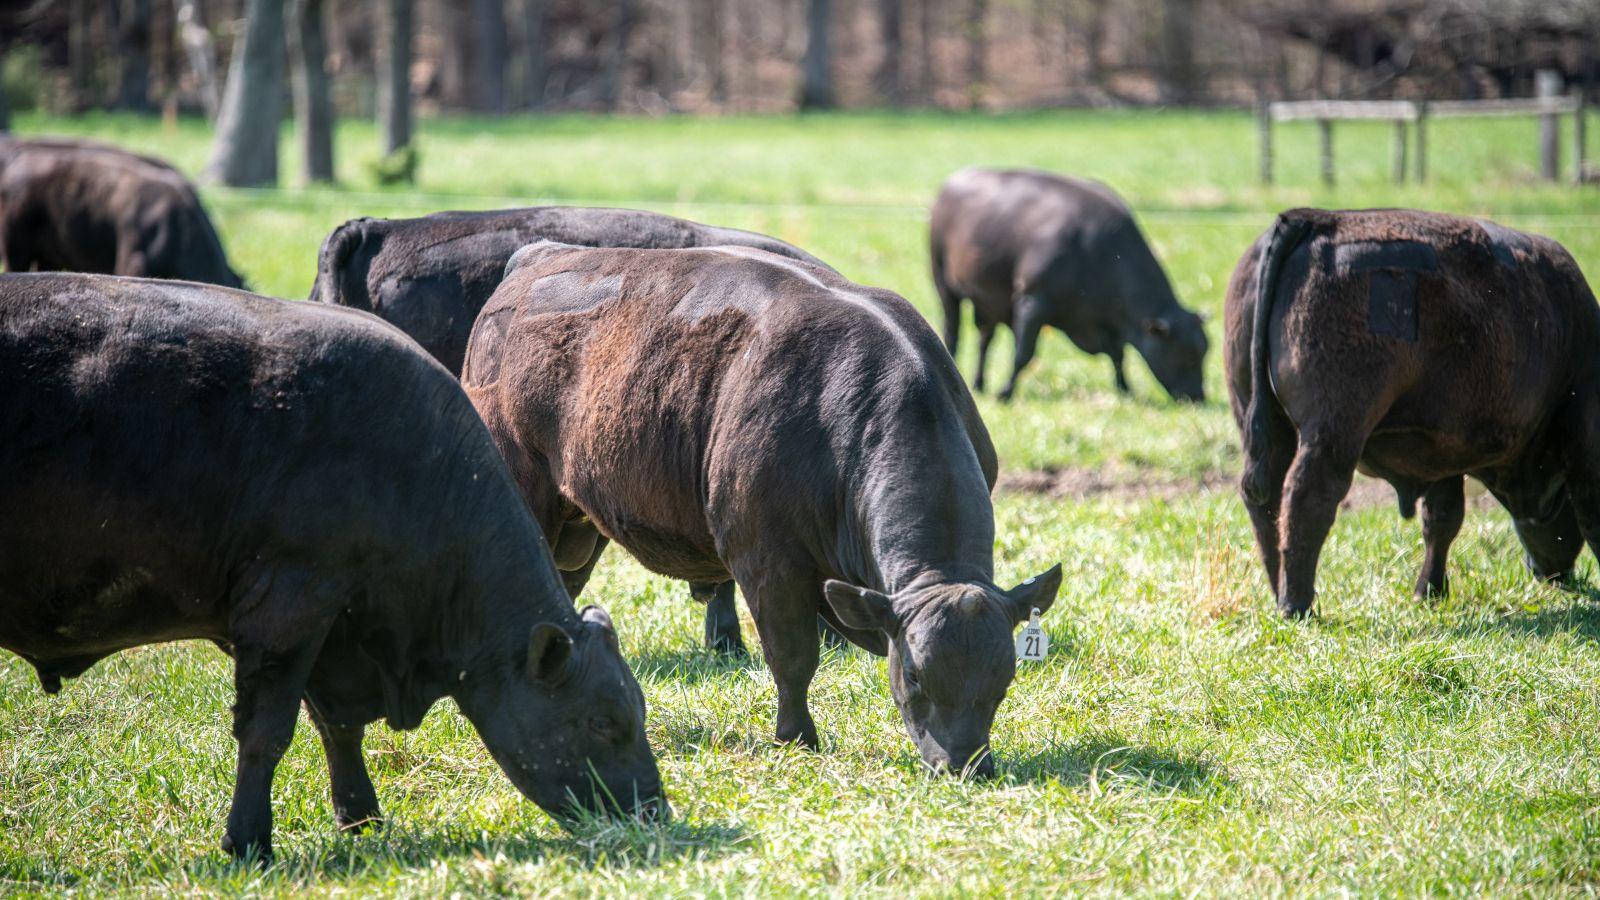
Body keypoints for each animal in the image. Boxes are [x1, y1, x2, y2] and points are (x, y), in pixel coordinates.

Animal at [0, 273, 664, 860]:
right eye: (604, 723)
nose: (654, 813)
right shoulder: (290, 603)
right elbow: (268, 732)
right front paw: (249, 842)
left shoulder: (330, 624)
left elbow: (335, 727)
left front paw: (360, 816)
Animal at [461, 241, 1062, 777]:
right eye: (914, 675)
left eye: (1004, 675)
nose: (965, 765)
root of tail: (540, 253)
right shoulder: (766, 558)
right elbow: (793, 658)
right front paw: (796, 738)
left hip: (578, 523)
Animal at [929, 167, 1208, 402]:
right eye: (1187, 356)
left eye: (1204, 352)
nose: (1198, 397)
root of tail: (956, 179)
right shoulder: (1033, 302)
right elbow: (1023, 354)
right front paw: (1006, 393)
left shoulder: (1109, 323)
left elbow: (1118, 355)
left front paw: (1125, 390)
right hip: (943, 281)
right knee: (952, 332)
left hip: (987, 300)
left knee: (985, 338)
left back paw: (978, 383)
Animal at [1225, 208, 1600, 618]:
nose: (1551, 573)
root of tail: (1314, 219)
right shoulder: (1583, 430)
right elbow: (1591, 512)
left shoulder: (1442, 455)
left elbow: (1442, 519)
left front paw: (1430, 590)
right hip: (1334, 431)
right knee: (1308, 497)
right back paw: (1299, 605)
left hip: (1264, 421)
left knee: (1265, 498)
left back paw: (1279, 593)